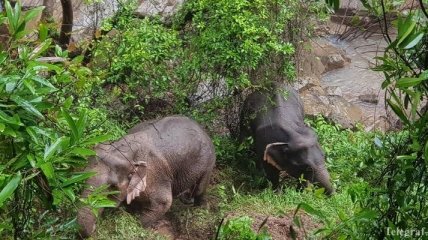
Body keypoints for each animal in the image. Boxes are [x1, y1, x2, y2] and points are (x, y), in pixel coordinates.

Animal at [77, 115, 216, 237]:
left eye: (112, 186)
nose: (95, 227)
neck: (124, 151)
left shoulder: (155, 175)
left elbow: (164, 202)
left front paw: (141, 226)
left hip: (208, 162)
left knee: (199, 189)